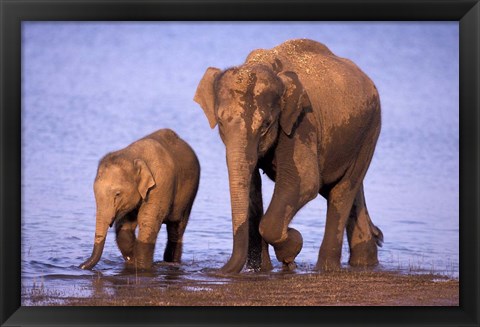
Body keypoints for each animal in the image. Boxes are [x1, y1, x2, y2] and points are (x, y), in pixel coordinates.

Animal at [79, 129, 200, 270]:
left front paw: (142, 267)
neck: (133, 155)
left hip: (189, 195)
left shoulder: (160, 185)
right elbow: (125, 226)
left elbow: (147, 222)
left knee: (176, 229)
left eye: (117, 194)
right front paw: (132, 260)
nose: (80, 266)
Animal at [194, 39, 382, 274]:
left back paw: (326, 268)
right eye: (220, 122)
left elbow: (306, 181)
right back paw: (365, 262)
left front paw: (291, 248)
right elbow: (253, 187)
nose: (213, 272)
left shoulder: (302, 121)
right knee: (348, 190)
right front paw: (262, 269)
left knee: (342, 190)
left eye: (266, 125)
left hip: (370, 130)